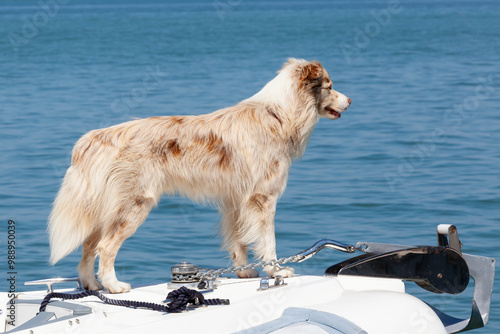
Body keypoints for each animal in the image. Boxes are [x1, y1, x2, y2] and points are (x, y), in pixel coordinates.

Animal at [47, 58, 352, 294]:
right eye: (329, 87)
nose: (350, 100)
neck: (279, 114)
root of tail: (98, 138)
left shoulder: (236, 200)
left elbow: (239, 239)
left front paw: (244, 272)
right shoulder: (263, 198)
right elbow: (268, 242)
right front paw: (276, 271)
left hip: (103, 211)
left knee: (88, 246)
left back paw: (92, 285)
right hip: (133, 206)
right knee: (105, 246)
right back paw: (114, 286)